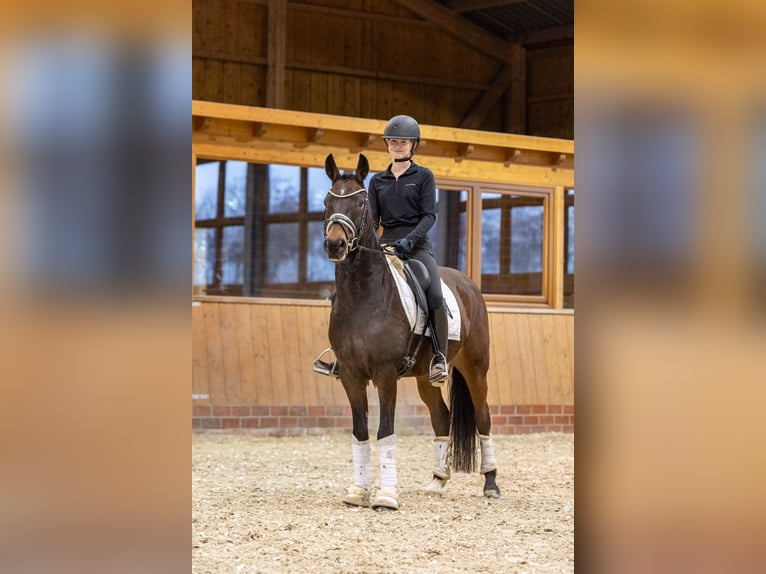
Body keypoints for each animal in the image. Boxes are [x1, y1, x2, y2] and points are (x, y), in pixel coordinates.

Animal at [320, 154, 500, 512]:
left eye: (360, 203)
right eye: (327, 202)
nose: (335, 245)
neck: (364, 296)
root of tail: (467, 283)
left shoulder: (385, 374)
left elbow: (385, 431)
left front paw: (386, 497)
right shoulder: (351, 376)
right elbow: (360, 433)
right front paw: (358, 491)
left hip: (475, 369)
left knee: (483, 417)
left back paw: (490, 483)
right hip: (424, 377)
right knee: (442, 418)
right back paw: (437, 482)